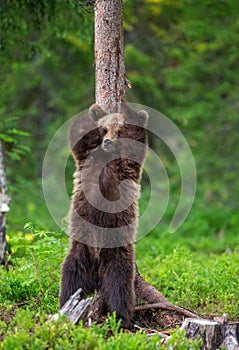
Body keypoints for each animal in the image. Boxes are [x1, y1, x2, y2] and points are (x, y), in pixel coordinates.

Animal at [59, 102, 148, 326]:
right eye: (105, 129)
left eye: (118, 131)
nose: (107, 142)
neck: (109, 156)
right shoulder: (86, 158)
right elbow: (79, 136)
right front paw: (96, 110)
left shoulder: (128, 163)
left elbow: (136, 140)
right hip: (81, 247)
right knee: (71, 276)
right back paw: (65, 304)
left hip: (116, 251)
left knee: (119, 285)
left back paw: (121, 318)